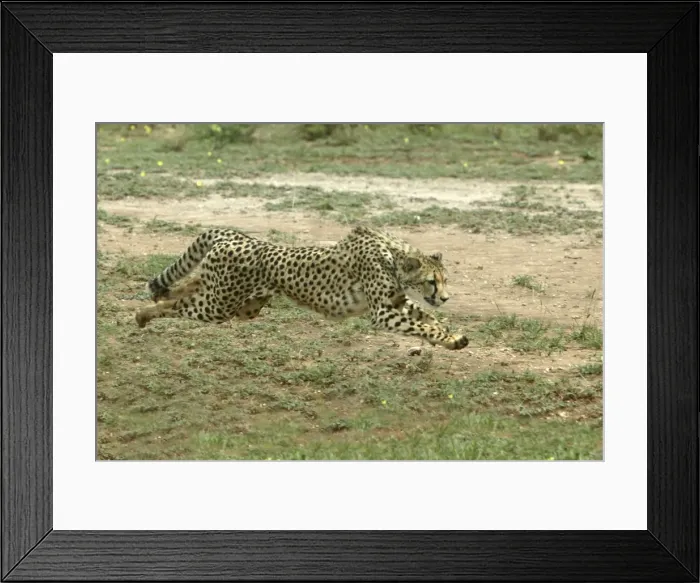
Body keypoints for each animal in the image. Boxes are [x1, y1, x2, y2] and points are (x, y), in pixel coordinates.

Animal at [135, 224, 469, 350]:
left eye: (446, 280)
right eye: (431, 281)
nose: (446, 297)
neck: (393, 255)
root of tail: (236, 234)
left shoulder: (397, 302)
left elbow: (428, 318)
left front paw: (448, 334)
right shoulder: (383, 312)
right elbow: (421, 324)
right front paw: (448, 338)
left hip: (240, 303)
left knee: (187, 284)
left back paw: (153, 300)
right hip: (220, 305)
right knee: (179, 305)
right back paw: (143, 314)